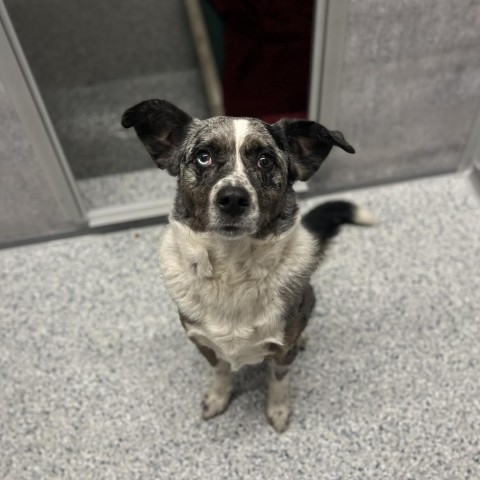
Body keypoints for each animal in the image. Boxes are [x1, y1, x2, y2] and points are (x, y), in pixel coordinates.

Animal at [121, 100, 376, 432]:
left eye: (265, 161)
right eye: (203, 156)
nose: (232, 199)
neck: (232, 271)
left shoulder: (281, 351)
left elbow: (279, 379)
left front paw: (278, 409)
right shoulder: (204, 344)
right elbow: (220, 371)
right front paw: (218, 397)